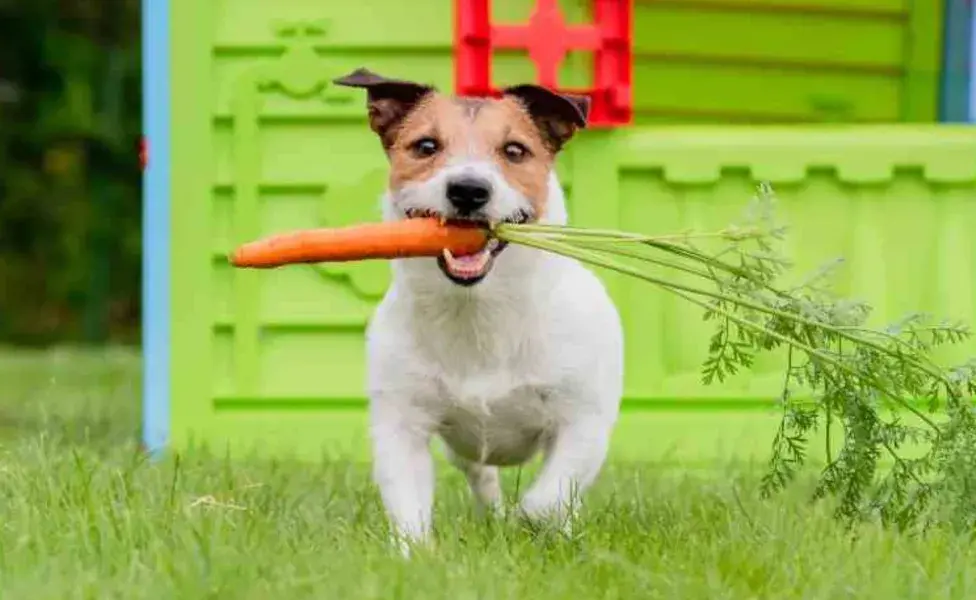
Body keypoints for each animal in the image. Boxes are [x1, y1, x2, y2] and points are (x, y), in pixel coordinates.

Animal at [334, 68, 624, 552]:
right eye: (426, 146)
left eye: (514, 150)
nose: (468, 190)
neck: (479, 312)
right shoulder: (402, 423)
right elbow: (407, 504)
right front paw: (415, 555)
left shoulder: (583, 422)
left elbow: (547, 499)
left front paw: (531, 524)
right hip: (462, 447)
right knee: (482, 476)